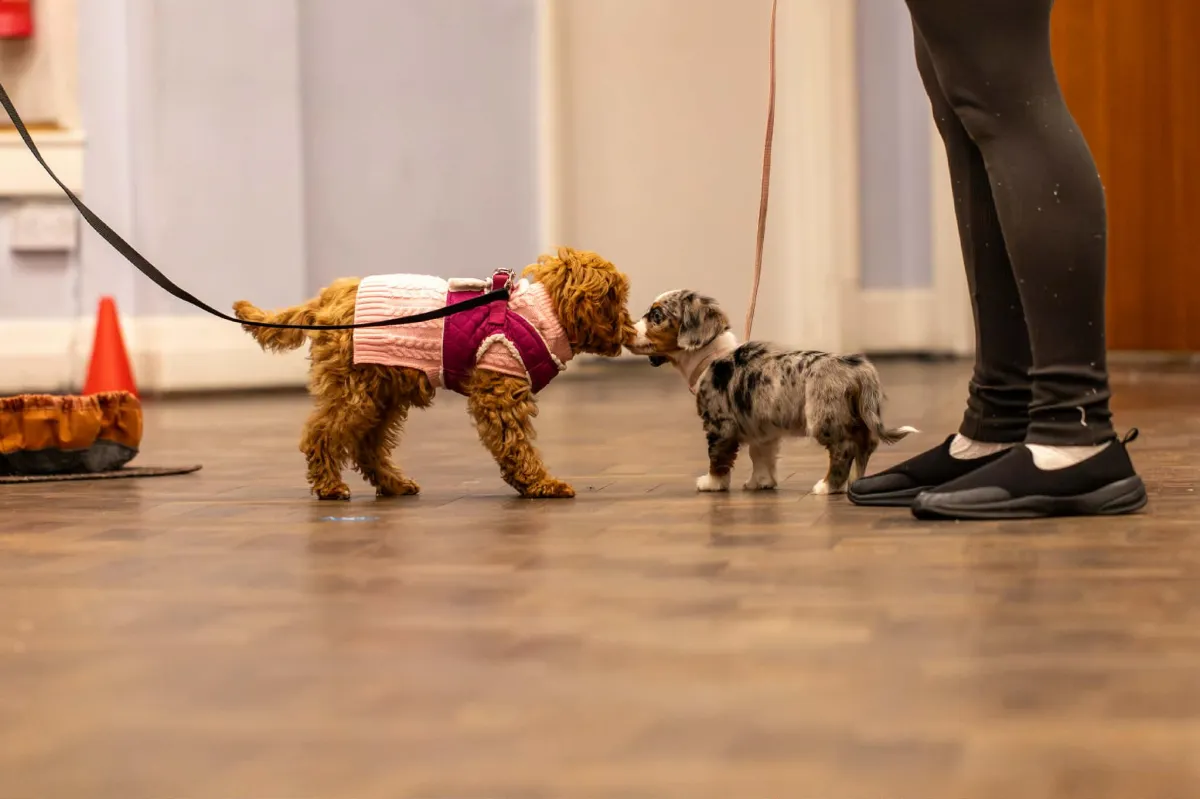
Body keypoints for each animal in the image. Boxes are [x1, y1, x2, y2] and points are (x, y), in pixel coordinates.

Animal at [232, 247, 635, 501]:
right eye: (618, 298)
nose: (631, 329)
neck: (543, 313)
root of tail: (328, 298)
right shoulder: (498, 391)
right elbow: (515, 443)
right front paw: (540, 483)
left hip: (380, 390)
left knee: (367, 445)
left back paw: (393, 483)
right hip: (354, 387)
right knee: (324, 434)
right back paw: (329, 486)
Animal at [626, 289, 917, 495]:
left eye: (657, 316)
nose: (627, 331)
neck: (710, 357)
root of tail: (859, 367)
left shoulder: (720, 426)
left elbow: (717, 458)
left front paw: (712, 483)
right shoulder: (762, 429)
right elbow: (761, 457)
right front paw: (761, 482)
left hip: (824, 420)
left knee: (844, 449)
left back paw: (828, 487)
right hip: (857, 417)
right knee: (866, 445)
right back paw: (858, 481)